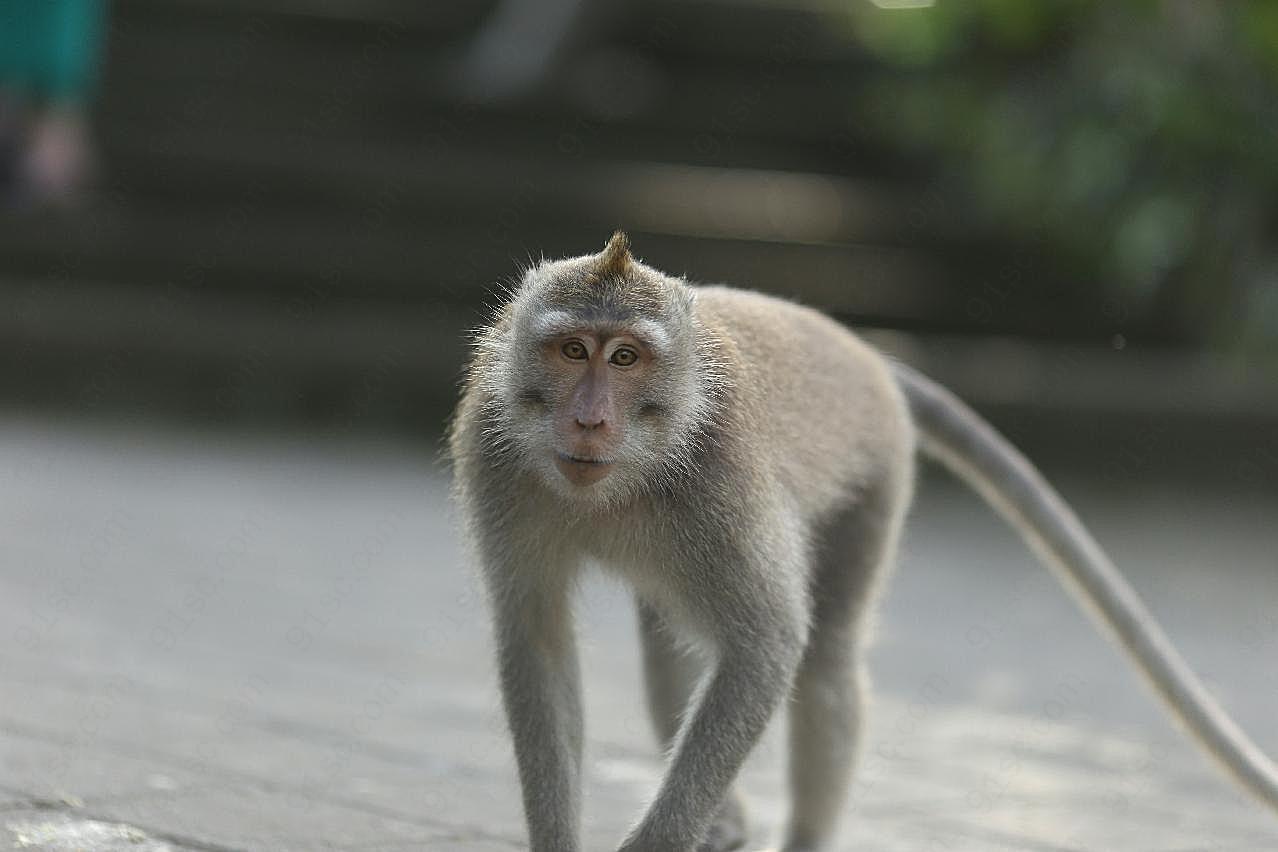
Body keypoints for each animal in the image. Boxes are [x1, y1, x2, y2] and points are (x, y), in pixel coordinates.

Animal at [449, 233, 1278, 852]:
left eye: (625, 358)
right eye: (572, 351)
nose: (589, 420)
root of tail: (867, 353)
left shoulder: (722, 486)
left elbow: (769, 645)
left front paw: (660, 842)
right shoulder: (493, 455)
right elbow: (537, 639)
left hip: (874, 482)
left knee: (825, 658)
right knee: (674, 643)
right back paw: (727, 820)